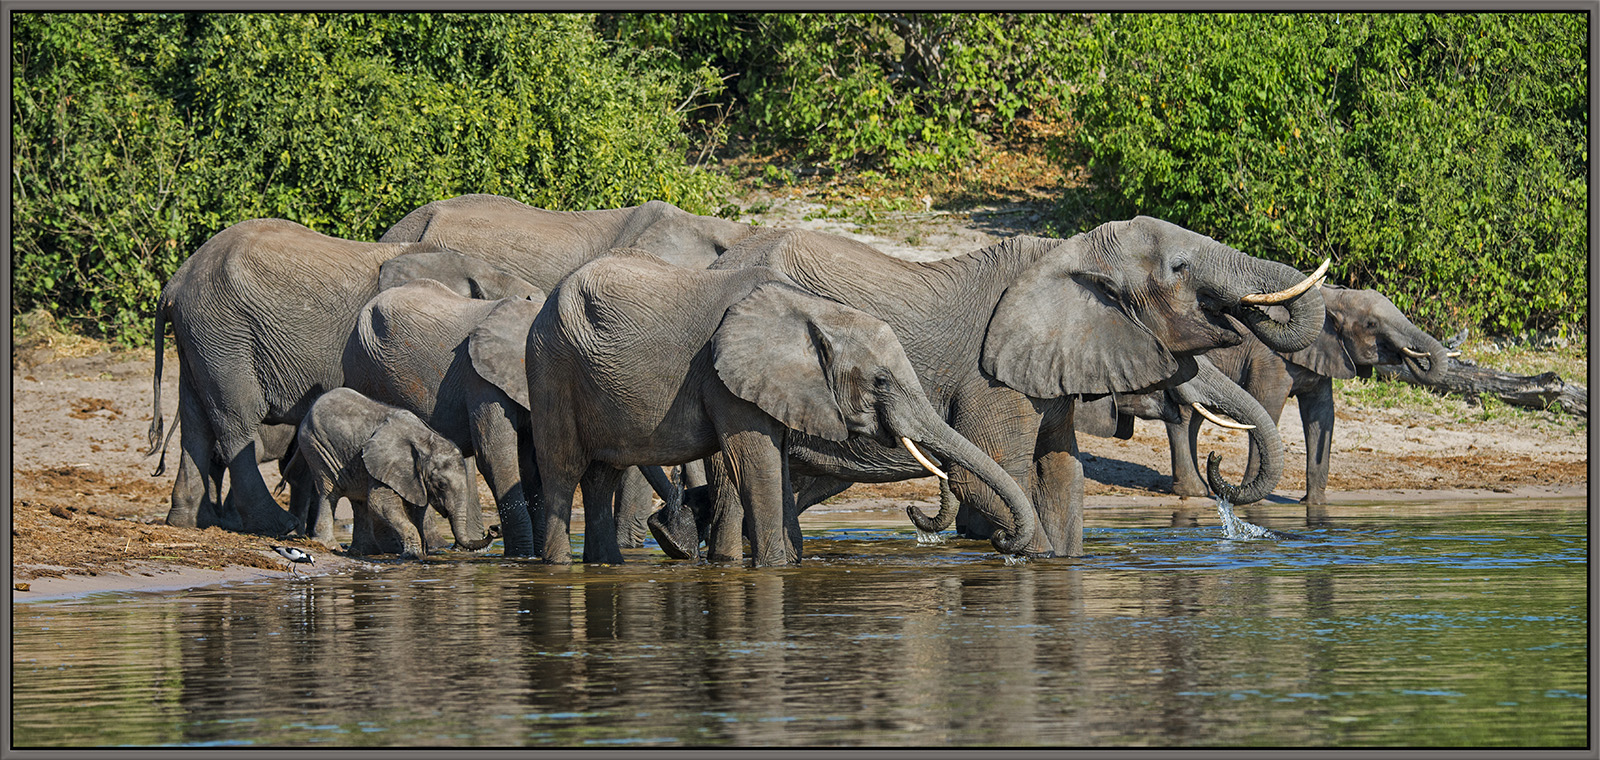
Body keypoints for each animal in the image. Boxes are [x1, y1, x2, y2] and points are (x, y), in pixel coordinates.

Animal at [289, 387, 494, 559]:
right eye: (441, 485)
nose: (494, 528)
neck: (425, 440)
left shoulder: (413, 478)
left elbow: (416, 510)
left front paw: (422, 553)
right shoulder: (386, 464)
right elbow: (380, 504)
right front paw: (413, 556)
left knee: (359, 501)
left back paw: (365, 552)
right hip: (316, 447)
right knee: (329, 491)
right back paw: (330, 546)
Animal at [524, 248, 1039, 567]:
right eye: (880, 381)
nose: (1004, 544)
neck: (815, 311)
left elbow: (780, 467)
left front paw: (789, 563)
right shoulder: (726, 379)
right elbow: (759, 464)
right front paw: (774, 569)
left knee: (601, 475)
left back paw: (606, 565)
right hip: (550, 363)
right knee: (562, 470)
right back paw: (557, 566)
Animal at [652, 220, 1326, 560]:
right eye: (1181, 270)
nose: (1219, 470)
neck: (1067, 250)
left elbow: (1063, 473)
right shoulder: (992, 377)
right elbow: (998, 473)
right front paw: (1014, 548)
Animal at [1078, 283, 1450, 504]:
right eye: (1372, 325)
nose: (1415, 357)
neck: (1328, 298)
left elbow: (1321, 416)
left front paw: (1313, 507)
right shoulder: (1271, 359)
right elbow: (1270, 410)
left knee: (1194, 419)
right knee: (1183, 418)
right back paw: (1195, 492)